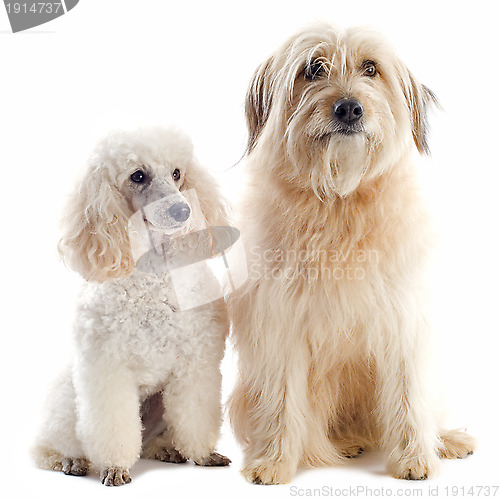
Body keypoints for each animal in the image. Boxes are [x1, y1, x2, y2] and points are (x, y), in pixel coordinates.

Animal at [32, 127, 231, 486]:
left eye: (177, 173)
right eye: (138, 176)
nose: (182, 211)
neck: (155, 275)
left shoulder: (197, 363)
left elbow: (195, 413)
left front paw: (202, 454)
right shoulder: (106, 368)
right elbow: (113, 426)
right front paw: (114, 467)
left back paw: (166, 449)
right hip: (69, 397)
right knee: (48, 445)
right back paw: (69, 460)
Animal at [229, 24, 474, 484]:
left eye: (371, 68)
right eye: (313, 69)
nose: (349, 109)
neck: (339, 199)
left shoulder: (403, 320)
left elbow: (409, 396)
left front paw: (415, 457)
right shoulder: (280, 326)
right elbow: (281, 400)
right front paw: (273, 461)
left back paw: (445, 440)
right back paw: (344, 443)